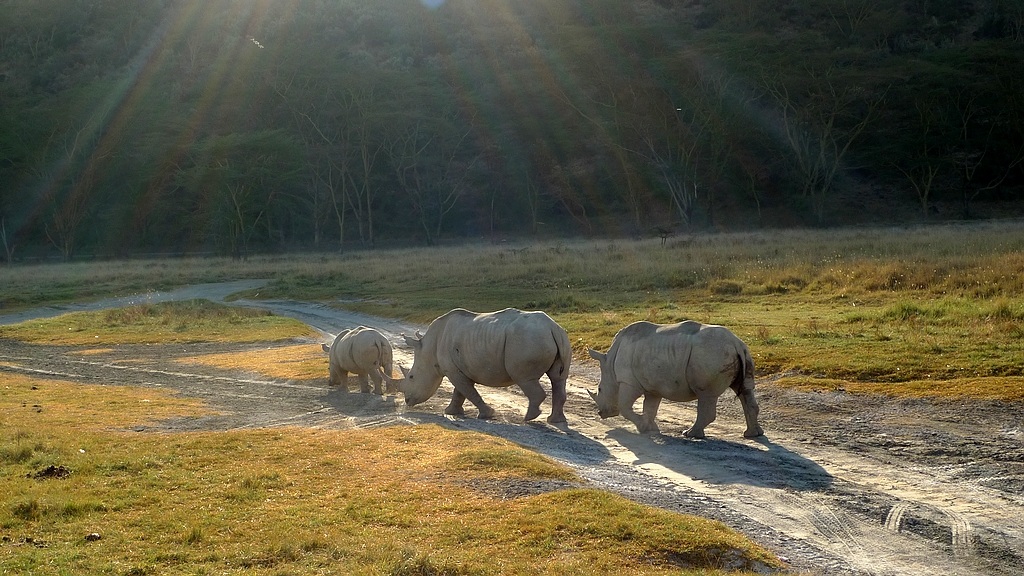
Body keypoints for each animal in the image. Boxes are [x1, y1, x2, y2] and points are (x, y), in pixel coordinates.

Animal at [399, 305, 573, 422]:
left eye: (411, 377)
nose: (407, 401)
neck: (428, 349)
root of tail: (552, 327)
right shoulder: (459, 368)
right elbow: (460, 391)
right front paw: (451, 412)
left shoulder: (452, 370)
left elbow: (467, 390)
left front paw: (487, 414)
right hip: (559, 338)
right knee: (558, 379)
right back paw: (554, 420)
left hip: (528, 339)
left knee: (524, 378)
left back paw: (528, 418)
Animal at [589, 319, 765, 436]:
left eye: (599, 389)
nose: (601, 414)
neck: (610, 364)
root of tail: (736, 343)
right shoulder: (653, 386)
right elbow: (650, 408)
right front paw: (649, 427)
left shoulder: (628, 381)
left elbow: (625, 407)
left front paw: (642, 427)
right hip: (742, 353)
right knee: (745, 390)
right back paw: (753, 434)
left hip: (711, 353)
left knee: (706, 395)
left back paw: (690, 434)